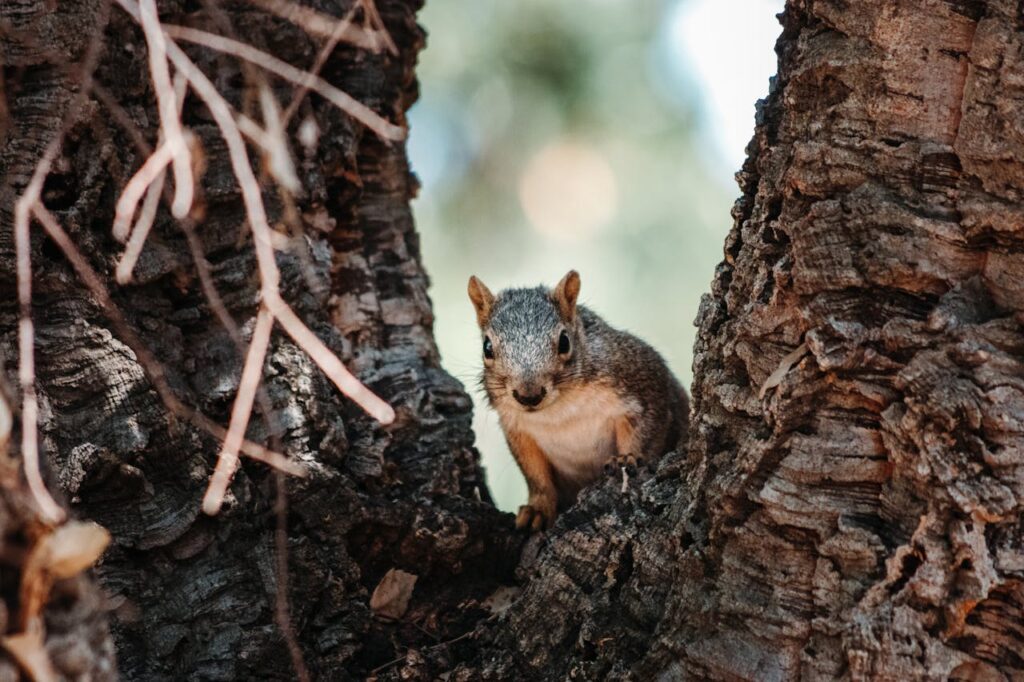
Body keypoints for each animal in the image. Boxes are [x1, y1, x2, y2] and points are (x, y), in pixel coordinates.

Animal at [467, 270, 689, 531]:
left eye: (565, 341)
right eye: (487, 347)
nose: (529, 395)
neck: (559, 410)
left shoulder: (643, 386)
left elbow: (644, 433)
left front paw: (627, 457)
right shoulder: (519, 431)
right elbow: (536, 477)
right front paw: (536, 509)